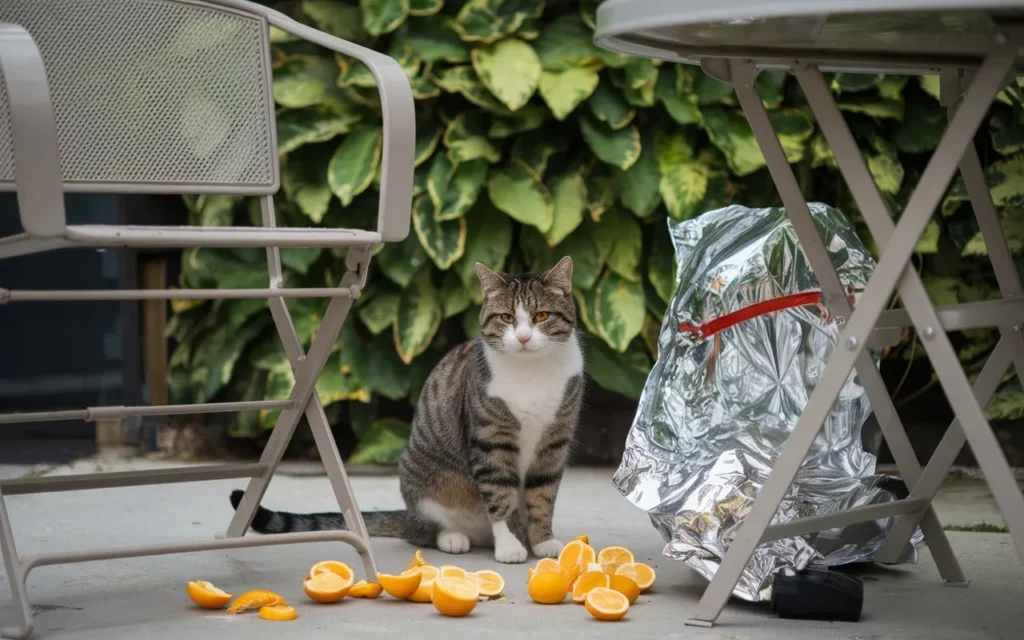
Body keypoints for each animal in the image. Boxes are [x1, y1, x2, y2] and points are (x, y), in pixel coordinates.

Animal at [231, 257, 585, 561]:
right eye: (507, 318)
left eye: (541, 317)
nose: (523, 337)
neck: (532, 373)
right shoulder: (490, 441)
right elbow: (500, 496)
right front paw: (511, 546)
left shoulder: (554, 441)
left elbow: (543, 496)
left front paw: (542, 541)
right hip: (424, 489)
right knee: (421, 533)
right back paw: (452, 538)